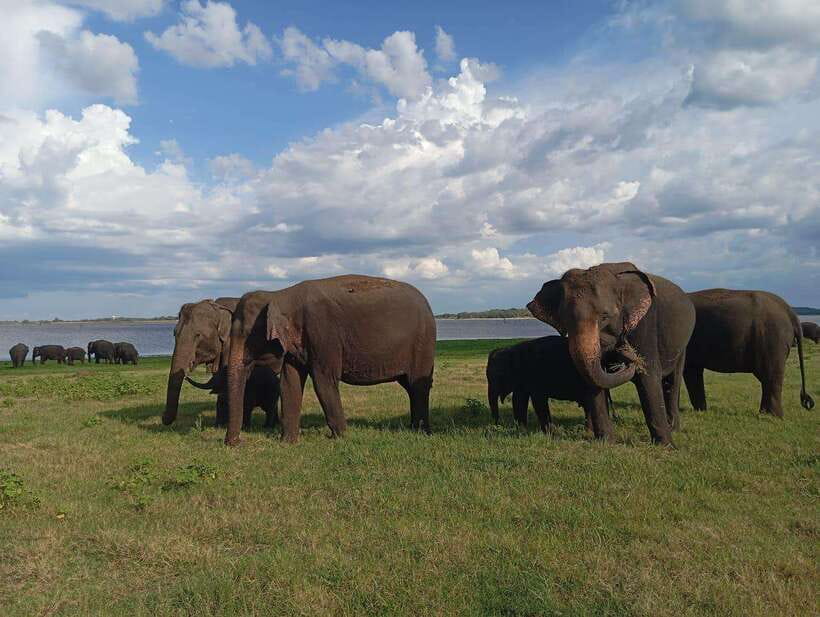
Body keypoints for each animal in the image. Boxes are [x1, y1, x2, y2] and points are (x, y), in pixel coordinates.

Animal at [163, 297, 281, 430]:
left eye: (198, 335)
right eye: (174, 333)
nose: (163, 416)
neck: (219, 308)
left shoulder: (234, 344)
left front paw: (221, 425)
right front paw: (218, 425)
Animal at [223, 275, 436, 445]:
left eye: (247, 336)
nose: (237, 443)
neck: (279, 295)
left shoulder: (323, 333)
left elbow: (324, 380)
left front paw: (341, 437)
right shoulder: (296, 344)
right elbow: (289, 383)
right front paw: (287, 442)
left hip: (423, 342)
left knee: (418, 385)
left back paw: (421, 431)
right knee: (410, 385)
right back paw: (412, 428)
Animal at [486, 336, 617, 433]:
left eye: (499, 375)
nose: (496, 424)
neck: (511, 349)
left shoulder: (533, 375)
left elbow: (537, 401)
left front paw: (549, 432)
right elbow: (519, 400)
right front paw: (522, 429)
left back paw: (588, 430)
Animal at [527, 262, 695, 446]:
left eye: (604, 317)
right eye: (565, 321)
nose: (627, 353)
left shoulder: (645, 322)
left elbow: (648, 377)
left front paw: (666, 446)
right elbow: (593, 382)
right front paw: (606, 443)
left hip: (683, 343)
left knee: (674, 381)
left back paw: (674, 428)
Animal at [684, 289, 814, 416]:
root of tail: (791, 313)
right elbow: (693, 370)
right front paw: (701, 411)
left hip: (772, 339)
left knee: (770, 375)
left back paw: (772, 416)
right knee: (766, 378)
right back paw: (765, 414)